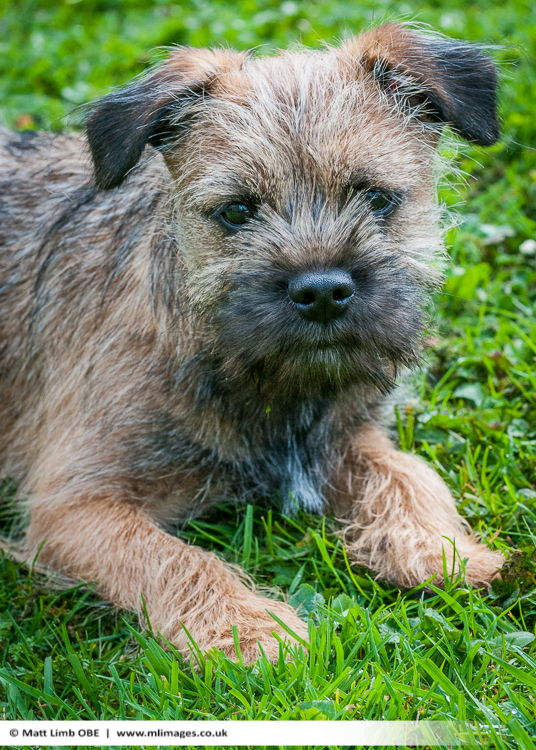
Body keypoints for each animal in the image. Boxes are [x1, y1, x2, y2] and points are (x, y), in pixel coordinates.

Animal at [0, 23, 502, 664]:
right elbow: (174, 558)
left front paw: (439, 550)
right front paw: (252, 631)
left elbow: (408, 472)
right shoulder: (74, 506)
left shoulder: (348, 434)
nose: (321, 291)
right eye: (237, 211)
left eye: (377, 198)